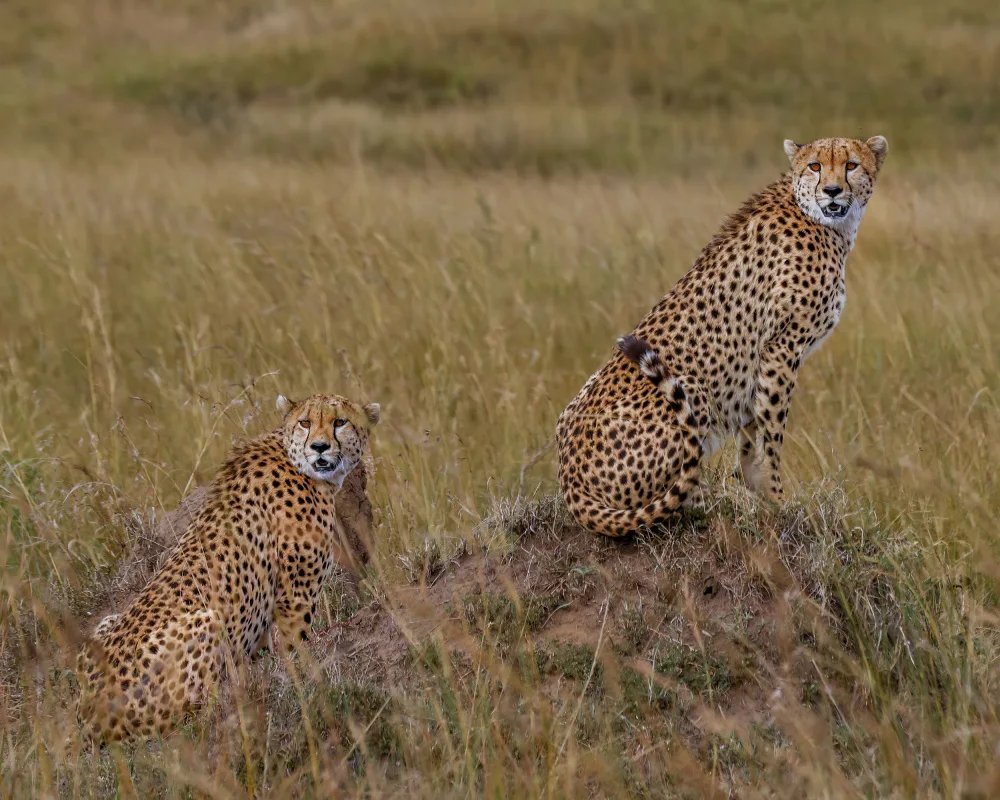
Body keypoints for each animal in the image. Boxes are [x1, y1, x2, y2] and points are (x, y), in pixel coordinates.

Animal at [75, 392, 381, 744]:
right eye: (305, 422)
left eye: (339, 421)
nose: (319, 447)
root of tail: (89, 716)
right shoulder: (296, 599)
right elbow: (295, 652)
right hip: (208, 623)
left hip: (105, 623)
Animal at [556, 135, 889, 537]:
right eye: (815, 166)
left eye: (851, 165)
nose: (833, 190)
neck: (824, 221)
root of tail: (570, 481)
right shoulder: (781, 349)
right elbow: (772, 434)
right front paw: (778, 501)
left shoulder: (762, 364)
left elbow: (751, 431)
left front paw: (754, 490)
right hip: (692, 389)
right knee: (672, 499)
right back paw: (710, 501)